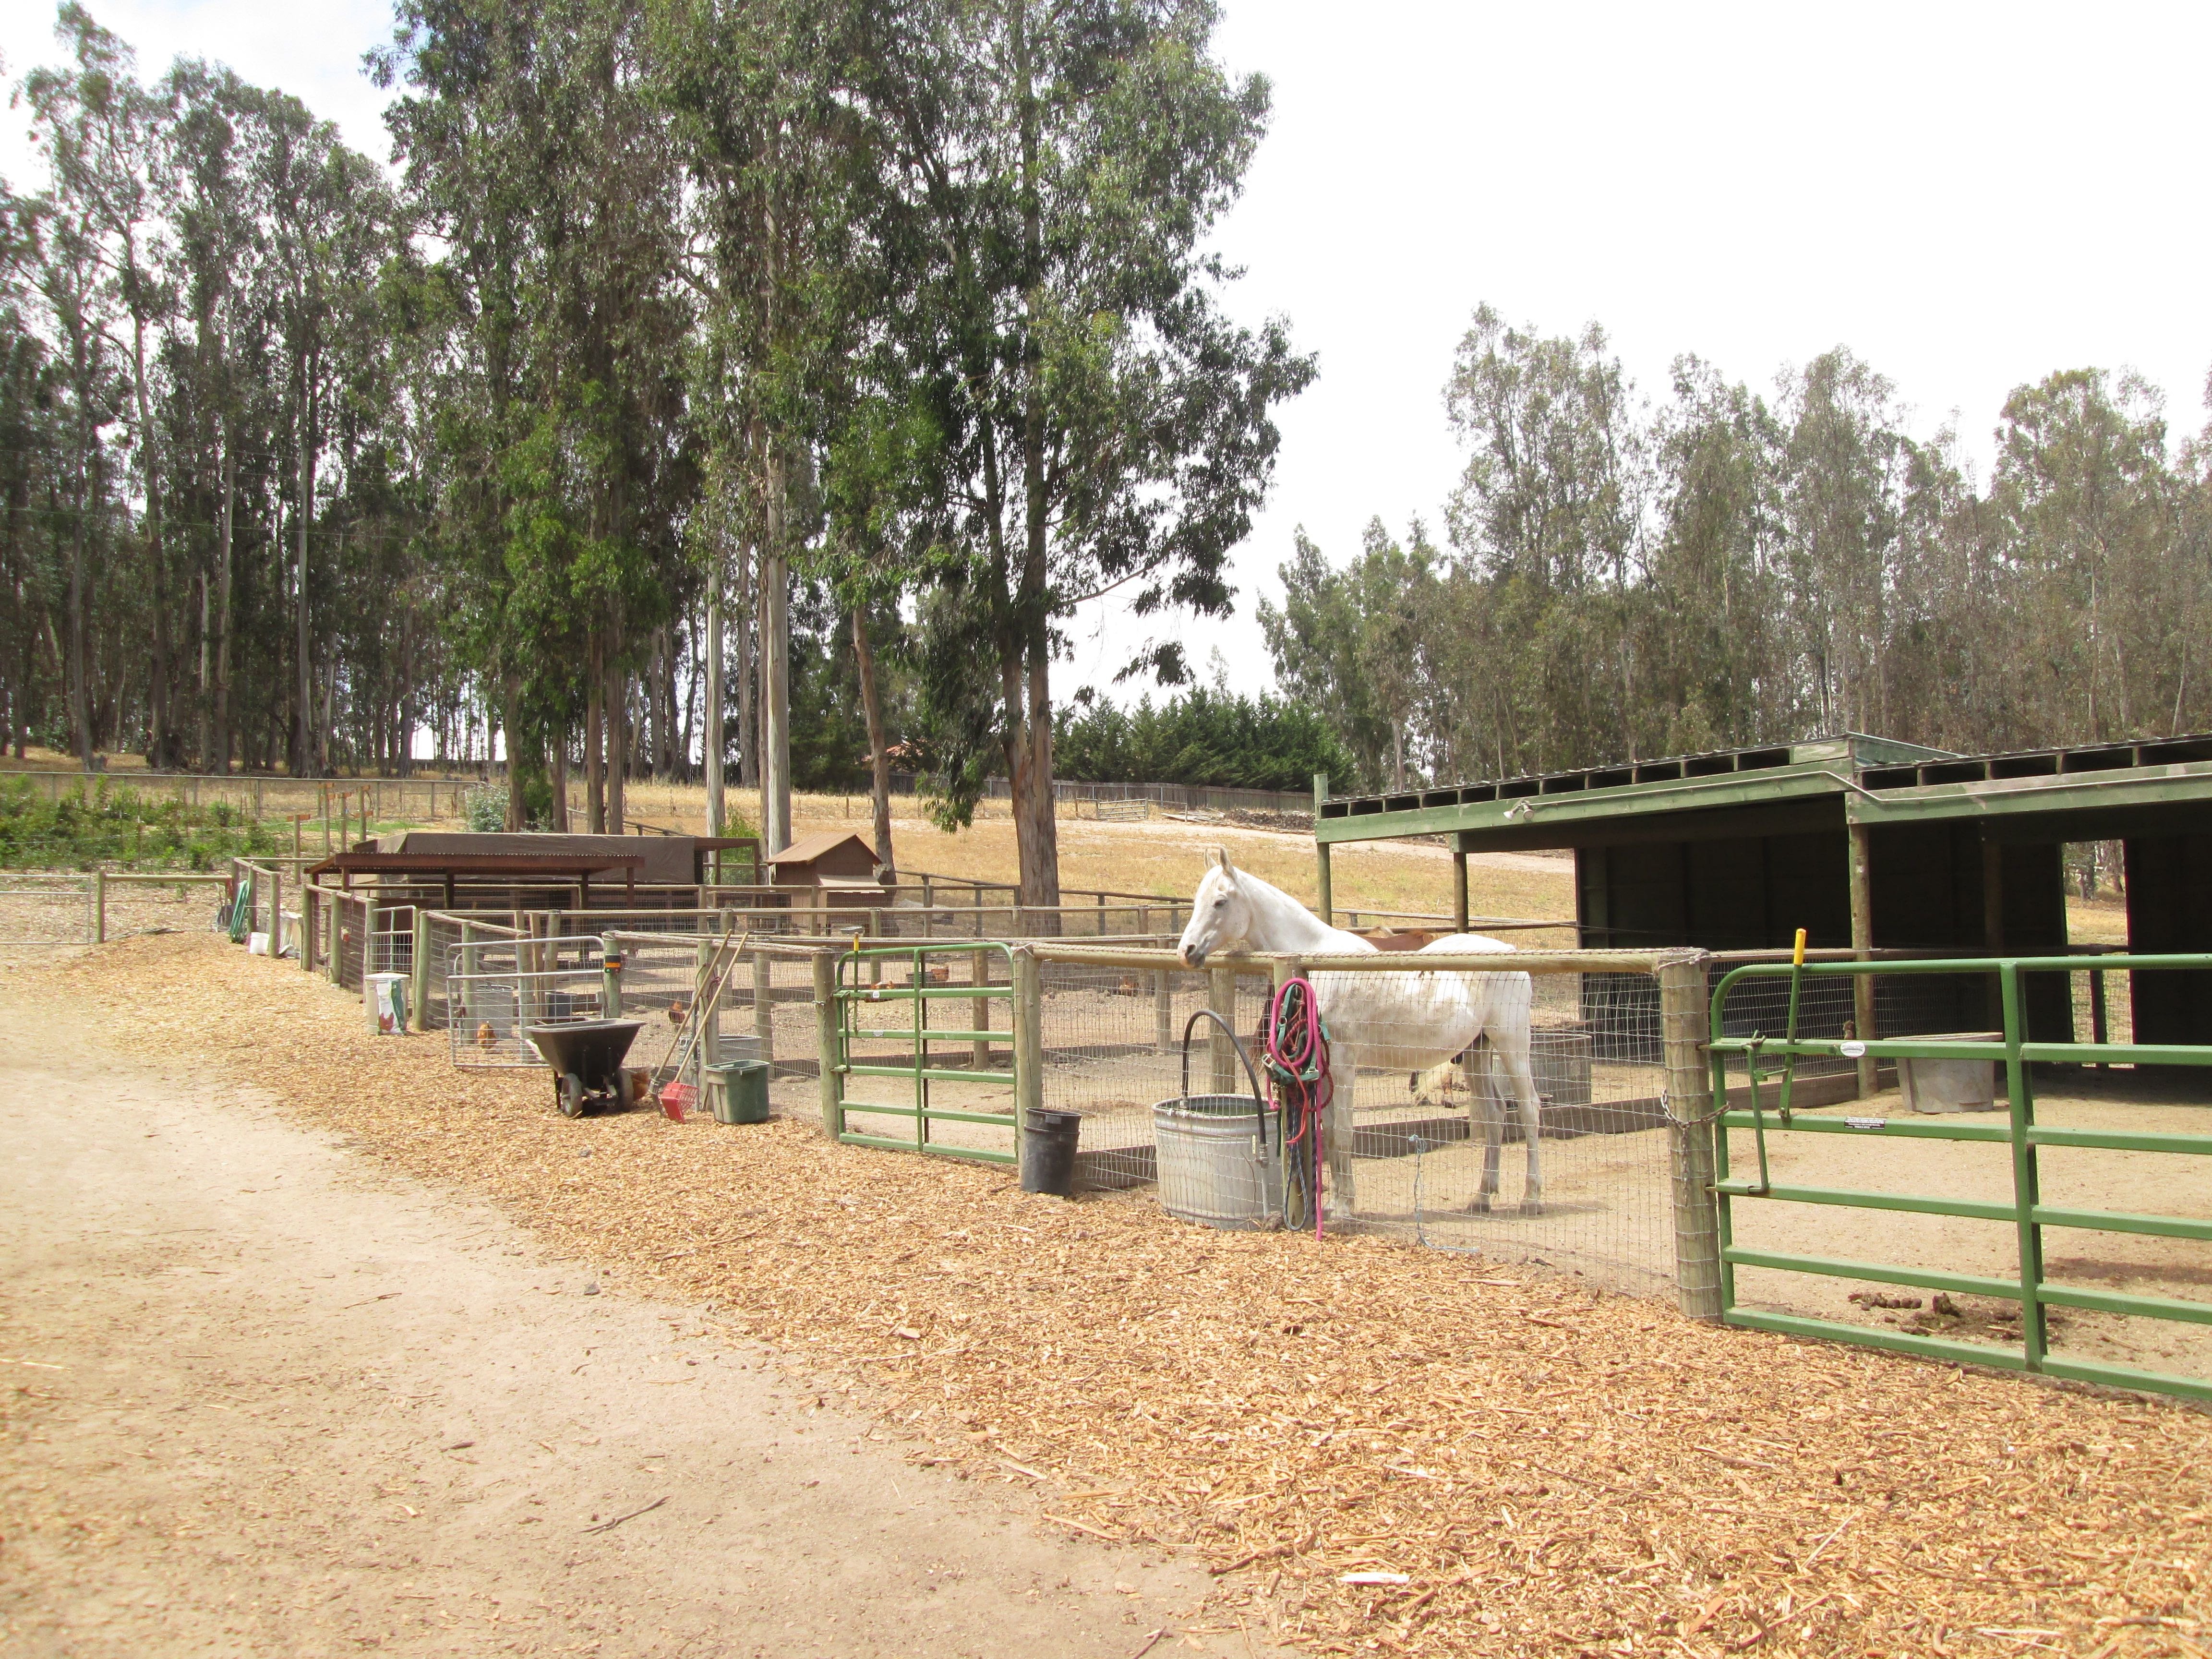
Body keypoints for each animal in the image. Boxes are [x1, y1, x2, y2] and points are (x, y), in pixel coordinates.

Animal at [1177, 858, 1539, 1221]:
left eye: (1220, 902)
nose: (1186, 952)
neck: (1318, 961)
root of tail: (1510, 951)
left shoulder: (1343, 1065)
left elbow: (1343, 1134)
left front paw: (1344, 1208)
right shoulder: (1322, 1068)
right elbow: (1328, 1133)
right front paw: (1337, 1201)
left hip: (1512, 1046)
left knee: (1529, 1108)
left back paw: (1531, 1198)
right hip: (1477, 1051)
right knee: (1494, 1113)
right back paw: (1482, 1198)